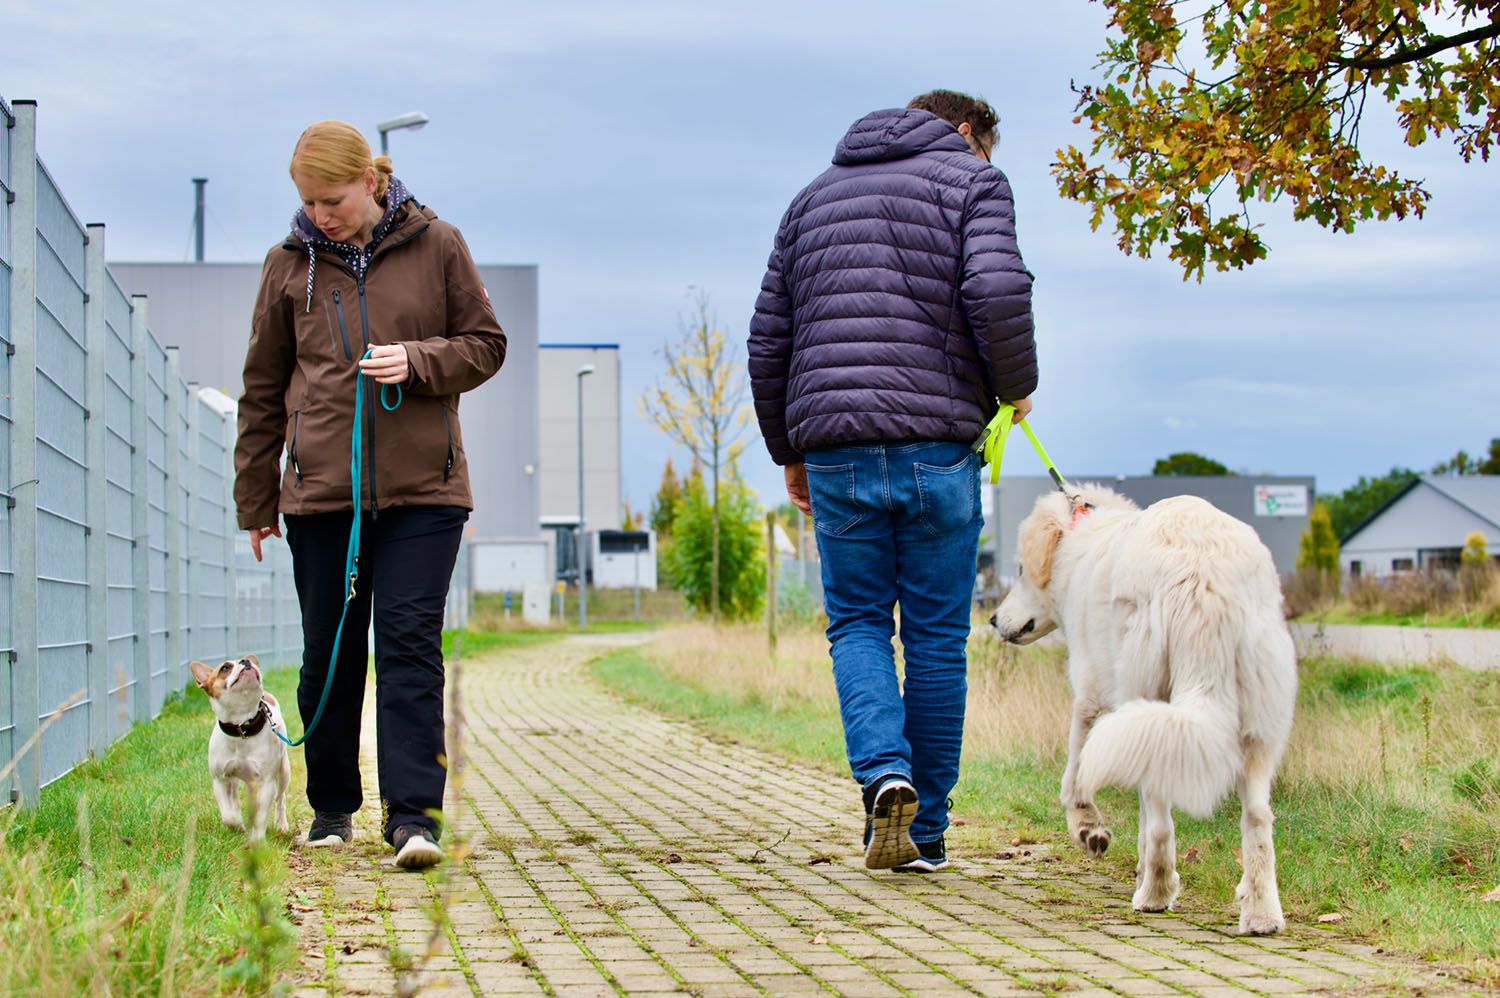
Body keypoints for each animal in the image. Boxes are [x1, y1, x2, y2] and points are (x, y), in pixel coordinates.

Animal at [187, 654, 289, 840]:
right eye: (225, 668)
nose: (246, 661)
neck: (241, 725)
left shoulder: (267, 783)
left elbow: (261, 814)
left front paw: (257, 840)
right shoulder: (220, 781)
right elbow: (228, 814)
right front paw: (237, 825)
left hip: (284, 770)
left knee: (280, 798)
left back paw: (281, 824)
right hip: (233, 780)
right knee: (234, 798)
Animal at [990, 486, 1296, 930]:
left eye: (1019, 569)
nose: (994, 620)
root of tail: (1203, 568)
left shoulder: (1092, 695)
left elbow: (1075, 777)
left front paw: (1087, 828)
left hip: (1144, 690)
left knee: (1161, 820)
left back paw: (1155, 892)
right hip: (1255, 723)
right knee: (1256, 817)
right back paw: (1260, 913)